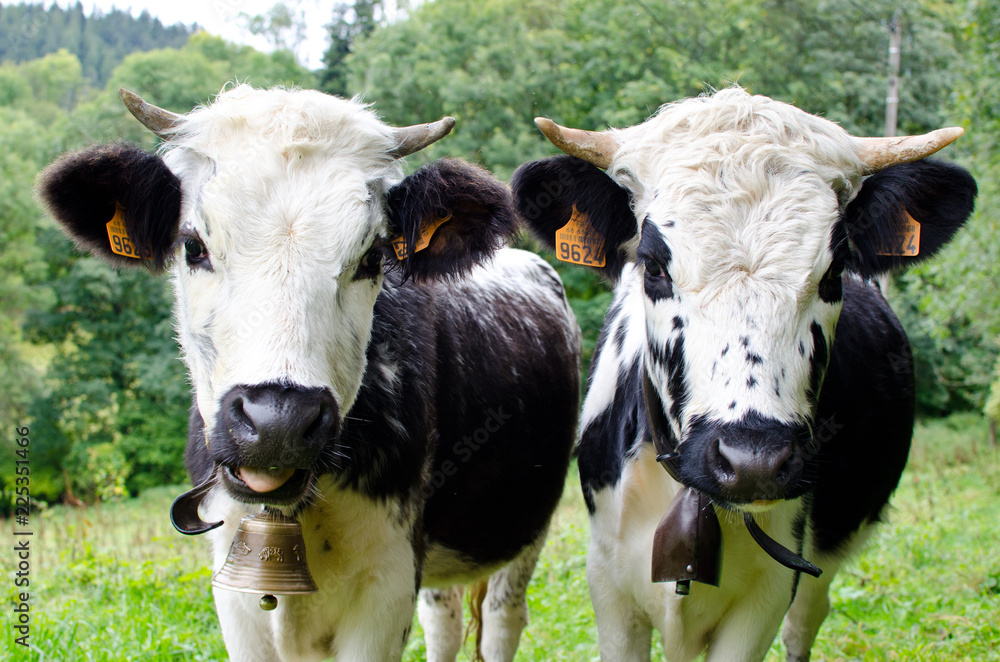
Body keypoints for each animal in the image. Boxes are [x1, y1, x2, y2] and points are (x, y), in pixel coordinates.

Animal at [37, 85, 582, 662]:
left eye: (373, 256)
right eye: (193, 245)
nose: (278, 421)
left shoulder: (388, 584)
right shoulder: (233, 586)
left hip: (526, 527)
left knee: (502, 618)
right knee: (445, 619)